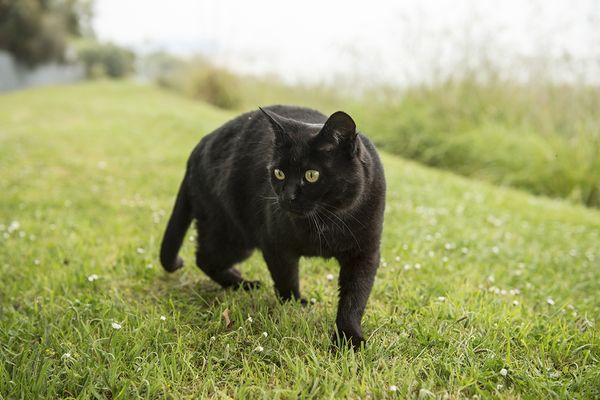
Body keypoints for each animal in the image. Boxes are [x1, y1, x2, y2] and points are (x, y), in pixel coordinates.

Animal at [159, 106, 384, 346]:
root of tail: (199, 146)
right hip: (232, 235)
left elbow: (355, 298)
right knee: (204, 258)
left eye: (312, 175)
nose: (287, 196)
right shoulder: (276, 245)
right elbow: (287, 280)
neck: (326, 222)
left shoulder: (365, 253)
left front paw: (349, 338)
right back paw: (243, 284)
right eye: (279, 173)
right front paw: (296, 305)